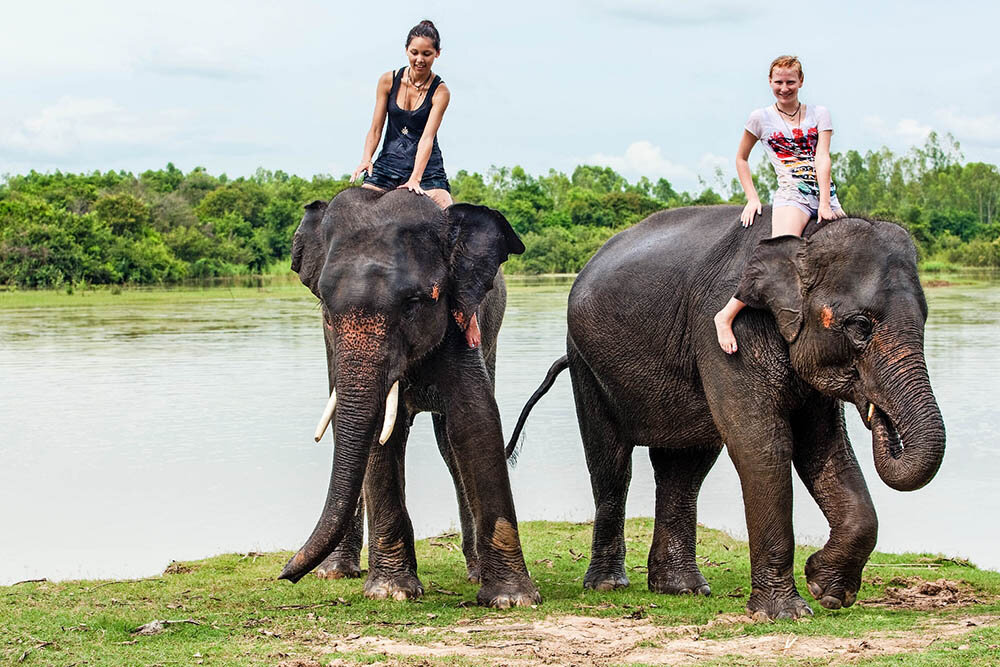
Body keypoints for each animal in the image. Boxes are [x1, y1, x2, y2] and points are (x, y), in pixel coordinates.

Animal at [286, 185, 540, 608]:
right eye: (325, 307)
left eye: (414, 303)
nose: (286, 574)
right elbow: (376, 438)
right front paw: (392, 592)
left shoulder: (461, 319)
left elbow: (476, 423)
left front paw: (512, 598)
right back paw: (335, 572)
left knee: (448, 447)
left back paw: (475, 573)